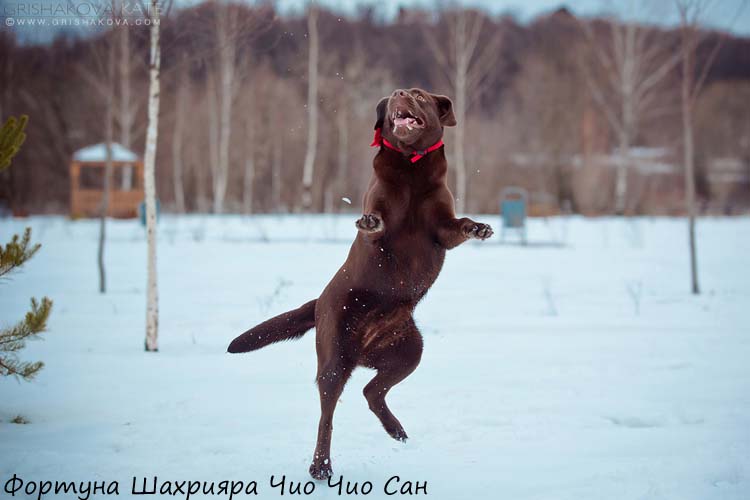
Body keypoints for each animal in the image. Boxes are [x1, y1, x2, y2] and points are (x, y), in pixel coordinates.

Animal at [232, 89, 496, 480]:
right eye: (400, 94)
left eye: (419, 95)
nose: (399, 93)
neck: (411, 168)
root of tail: (318, 302)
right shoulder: (381, 211)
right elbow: (377, 226)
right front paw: (370, 222)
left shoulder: (441, 227)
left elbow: (457, 225)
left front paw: (478, 227)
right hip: (334, 356)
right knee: (328, 413)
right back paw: (320, 466)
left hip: (409, 351)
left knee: (372, 391)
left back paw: (396, 429)